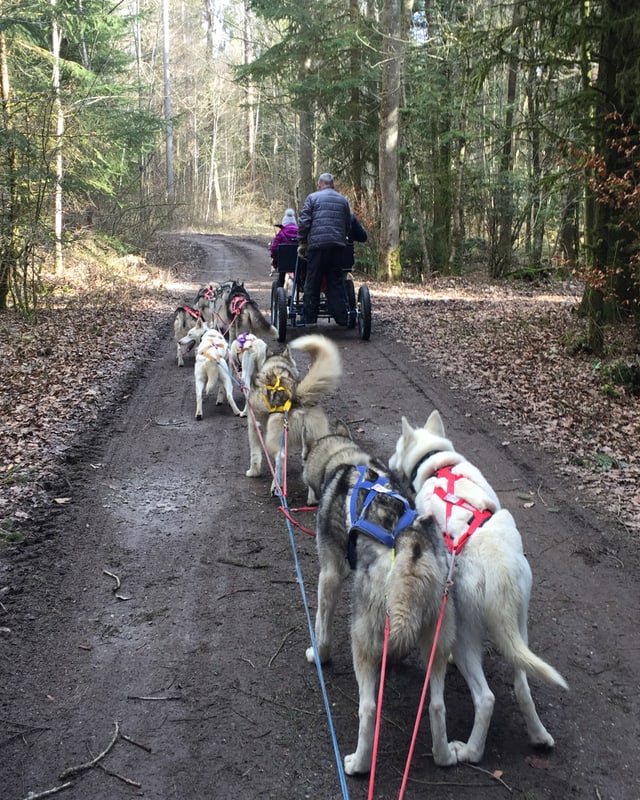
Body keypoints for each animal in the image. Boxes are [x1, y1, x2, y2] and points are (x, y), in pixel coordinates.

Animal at [245, 332, 342, 500]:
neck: (277, 367)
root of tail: (297, 395)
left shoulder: (253, 426)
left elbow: (255, 456)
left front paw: (253, 472)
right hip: (315, 437)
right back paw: (312, 499)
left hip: (273, 439)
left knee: (280, 458)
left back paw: (277, 487)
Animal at [304, 424, 458, 776]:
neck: (346, 461)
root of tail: (411, 547)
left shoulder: (329, 575)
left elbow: (321, 625)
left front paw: (319, 654)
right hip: (437, 640)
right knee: (438, 705)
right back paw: (444, 755)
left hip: (361, 637)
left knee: (369, 709)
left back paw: (358, 764)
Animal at [388, 410, 568, 764]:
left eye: (398, 445)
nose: (388, 462)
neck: (437, 463)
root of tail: (499, 572)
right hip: (519, 628)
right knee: (522, 687)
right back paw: (539, 736)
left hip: (466, 633)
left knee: (486, 698)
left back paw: (470, 751)